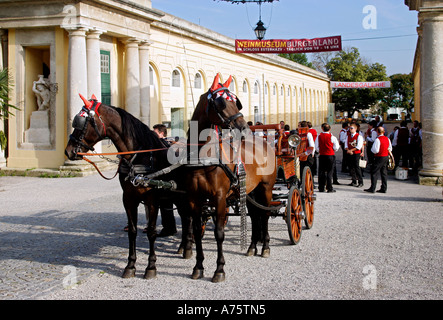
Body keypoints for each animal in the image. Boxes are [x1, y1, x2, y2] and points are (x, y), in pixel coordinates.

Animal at [64, 94, 193, 278]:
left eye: (81, 123)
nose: (68, 151)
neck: (138, 157)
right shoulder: (128, 198)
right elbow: (132, 231)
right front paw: (130, 265)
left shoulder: (152, 200)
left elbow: (152, 231)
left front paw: (151, 266)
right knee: (185, 217)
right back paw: (184, 246)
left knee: (188, 218)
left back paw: (188, 247)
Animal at [185, 74, 276, 282]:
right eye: (221, 103)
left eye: (236, 102)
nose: (244, 128)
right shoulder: (194, 199)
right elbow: (197, 231)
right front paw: (198, 266)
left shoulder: (219, 198)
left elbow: (219, 233)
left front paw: (219, 269)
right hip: (250, 190)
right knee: (256, 215)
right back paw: (252, 246)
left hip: (266, 188)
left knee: (265, 215)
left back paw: (266, 247)